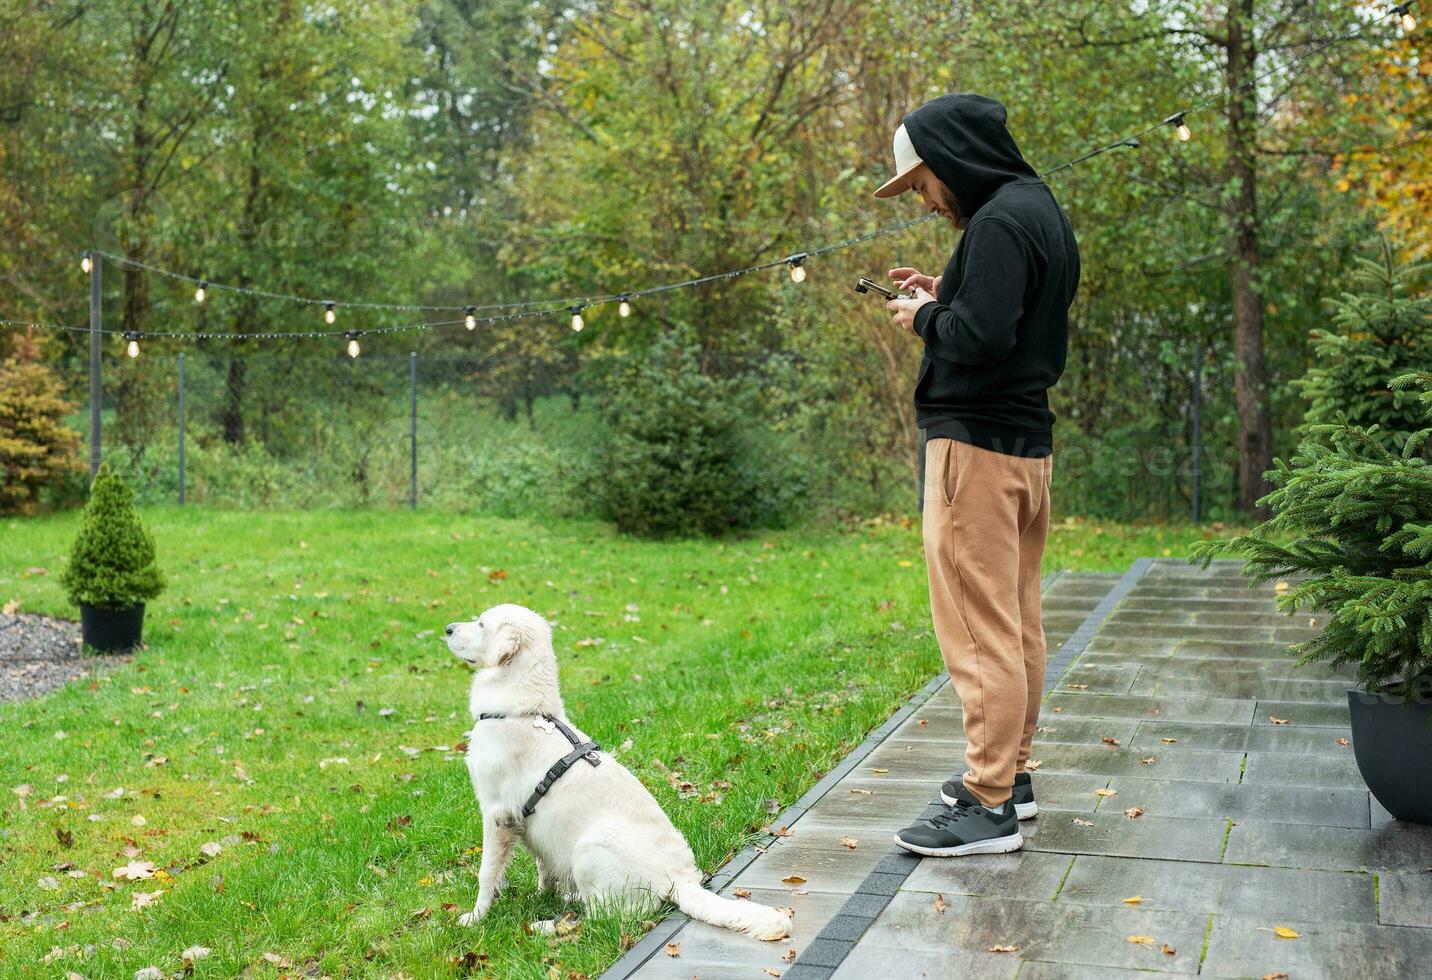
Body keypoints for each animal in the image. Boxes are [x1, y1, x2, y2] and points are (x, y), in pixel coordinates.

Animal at [441, 601, 790, 939]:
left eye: (482, 624)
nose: (447, 628)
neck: (524, 711)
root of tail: (681, 880)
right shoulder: (526, 824)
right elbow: (544, 867)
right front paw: (542, 895)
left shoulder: (498, 814)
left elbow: (486, 873)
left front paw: (476, 917)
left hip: (591, 847)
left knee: (604, 921)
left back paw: (547, 926)